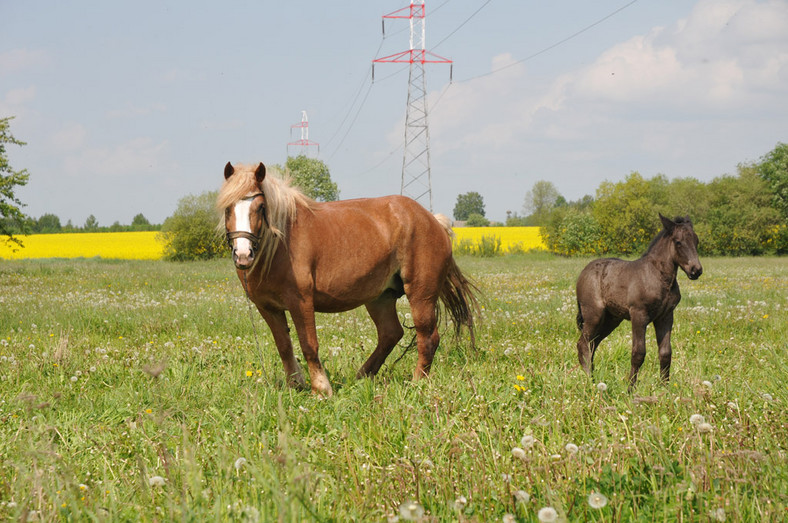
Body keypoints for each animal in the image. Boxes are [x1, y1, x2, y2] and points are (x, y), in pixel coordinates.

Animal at [217, 164, 480, 398]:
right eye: (228, 208)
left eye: (260, 206)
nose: (243, 254)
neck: (280, 244)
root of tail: (433, 220)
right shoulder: (267, 307)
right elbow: (284, 346)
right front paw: (295, 385)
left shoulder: (301, 302)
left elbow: (309, 344)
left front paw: (321, 389)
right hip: (380, 297)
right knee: (390, 333)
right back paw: (363, 376)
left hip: (420, 294)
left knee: (427, 338)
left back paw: (417, 382)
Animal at [572, 213, 700, 388]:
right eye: (678, 242)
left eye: (696, 241)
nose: (696, 270)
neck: (658, 276)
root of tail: (584, 271)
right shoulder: (639, 315)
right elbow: (638, 353)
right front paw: (630, 388)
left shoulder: (666, 316)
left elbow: (666, 353)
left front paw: (665, 388)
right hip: (593, 314)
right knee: (583, 344)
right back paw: (589, 380)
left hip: (611, 319)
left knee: (593, 344)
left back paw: (594, 377)